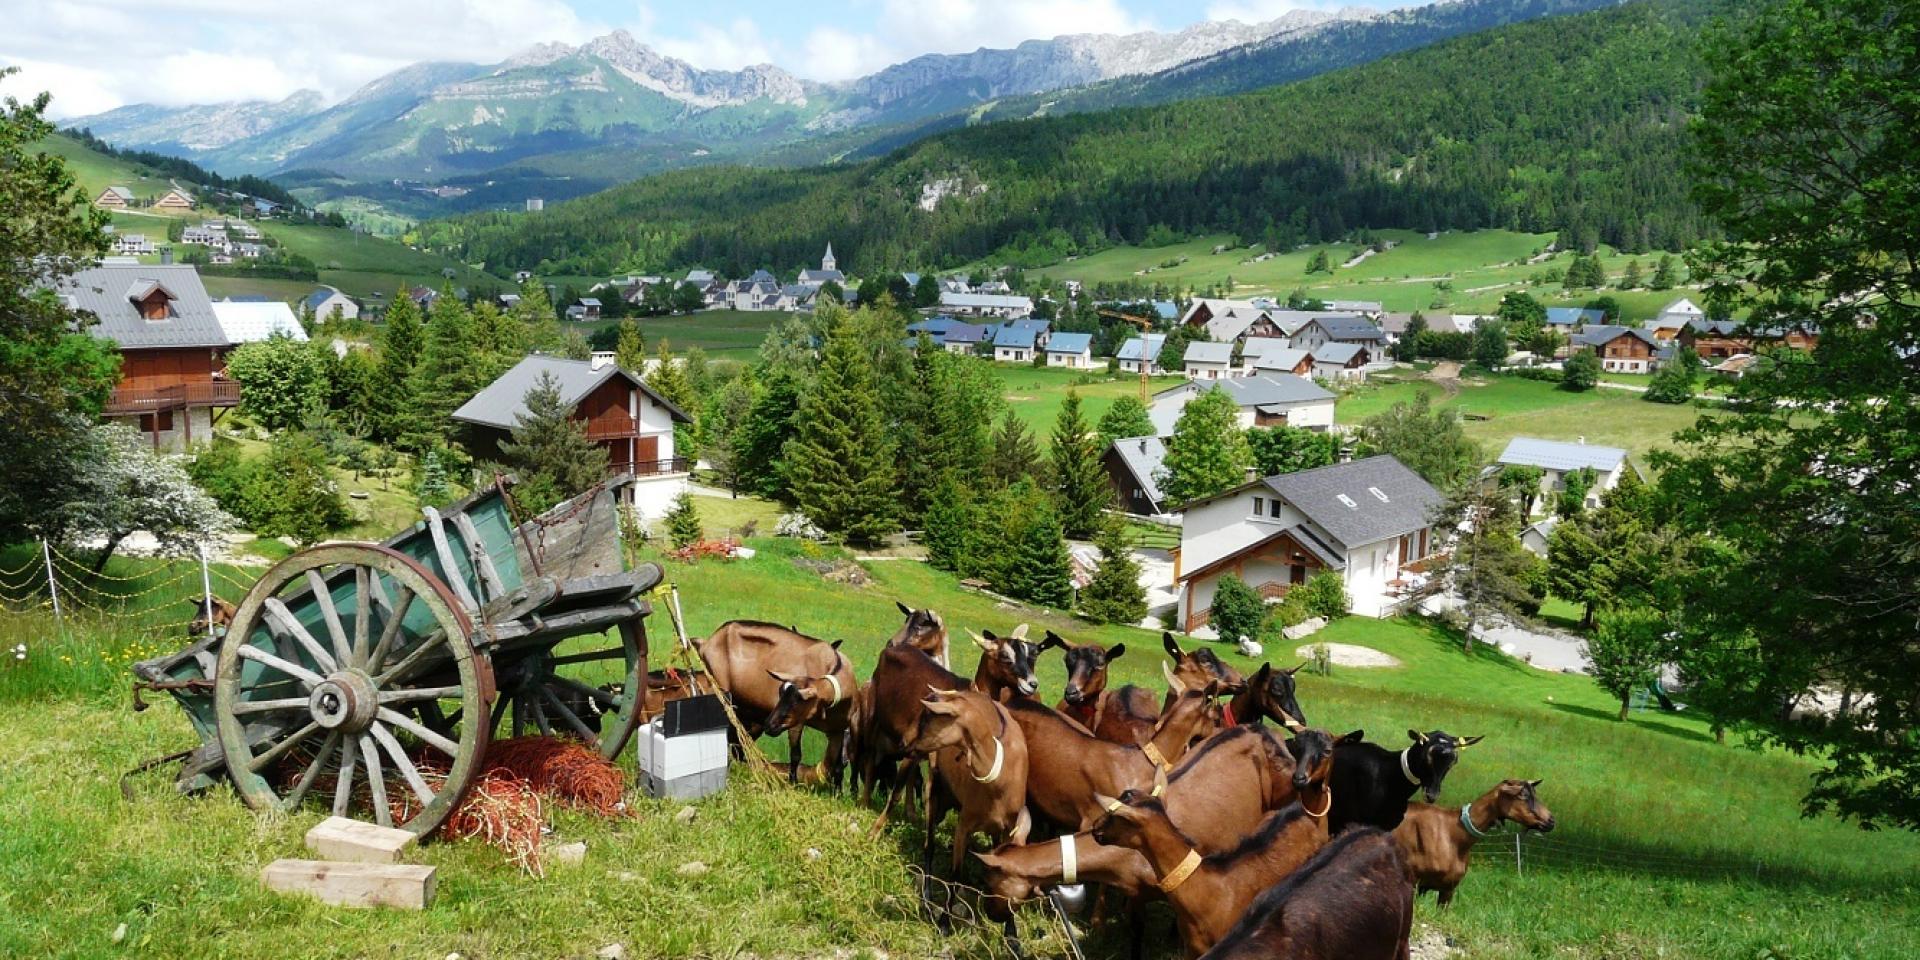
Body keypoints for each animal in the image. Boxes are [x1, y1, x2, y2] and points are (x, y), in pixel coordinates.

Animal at [902, 691, 1029, 879]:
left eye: (926, 718)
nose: (904, 744)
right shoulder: (964, 824)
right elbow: (956, 874)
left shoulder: (1010, 829)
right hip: (934, 789)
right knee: (929, 846)